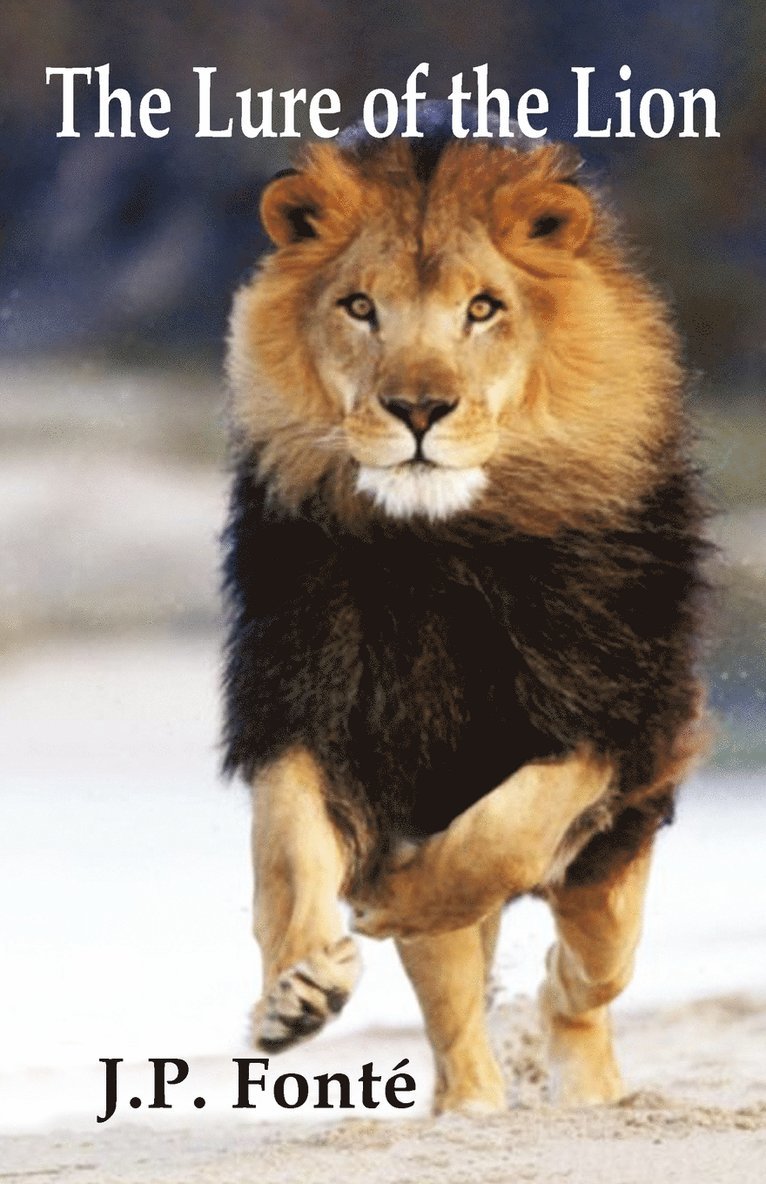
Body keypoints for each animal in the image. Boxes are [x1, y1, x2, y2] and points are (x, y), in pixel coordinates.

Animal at [221, 106, 707, 1115]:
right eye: (359, 307)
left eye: (483, 309)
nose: (418, 409)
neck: (441, 552)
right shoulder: (308, 700)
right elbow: (289, 853)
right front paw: (295, 995)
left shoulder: (613, 717)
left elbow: (505, 838)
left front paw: (396, 897)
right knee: (457, 1004)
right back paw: (469, 1104)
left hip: (622, 834)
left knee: (589, 965)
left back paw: (578, 1076)